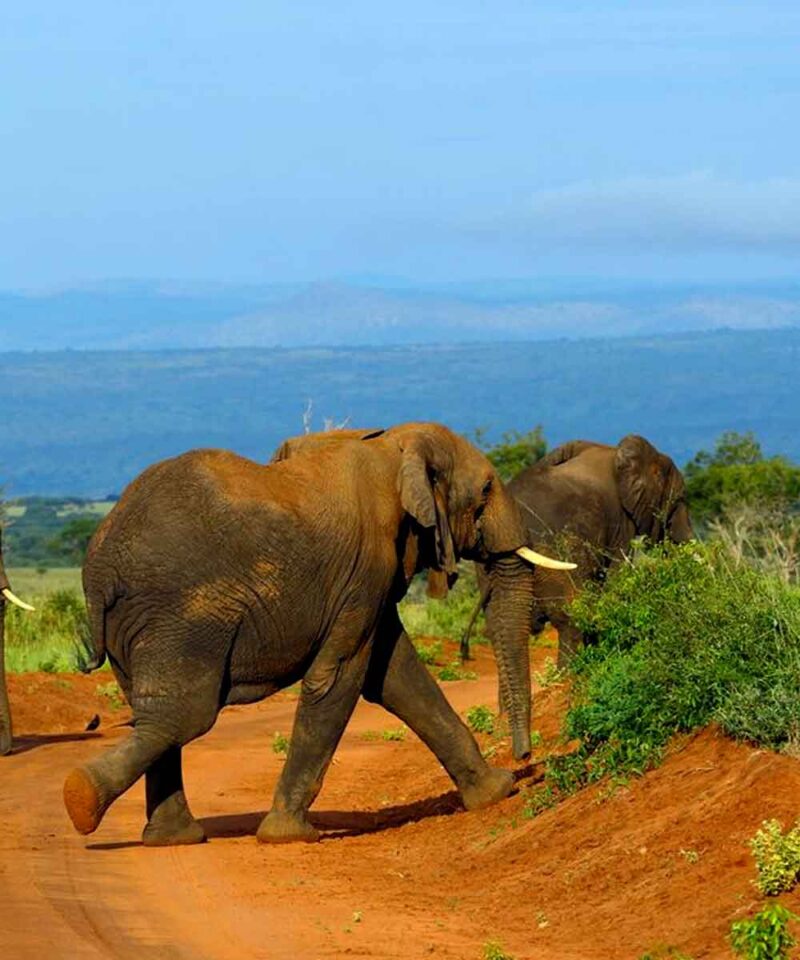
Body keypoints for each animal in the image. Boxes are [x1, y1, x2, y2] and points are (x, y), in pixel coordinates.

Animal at [63, 422, 570, 847]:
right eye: (485, 490)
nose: (525, 761)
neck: (397, 444)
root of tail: (101, 567)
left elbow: (397, 677)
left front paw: (495, 791)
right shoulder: (366, 569)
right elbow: (338, 677)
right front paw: (288, 836)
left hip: (140, 624)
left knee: (155, 715)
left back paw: (170, 838)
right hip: (183, 614)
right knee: (183, 716)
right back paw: (82, 799)